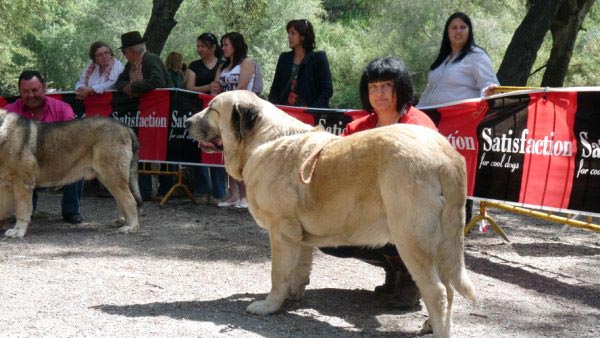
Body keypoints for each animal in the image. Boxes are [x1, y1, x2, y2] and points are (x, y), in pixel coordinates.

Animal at [0, 109, 143, 236]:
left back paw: (131, 227)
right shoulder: (4, 185)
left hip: (112, 176)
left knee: (130, 200)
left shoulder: (23, 184)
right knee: (121, 199)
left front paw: (18, 231)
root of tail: (126, 127)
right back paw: (122, 222)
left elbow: (22, 210)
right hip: (107, 178)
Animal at [185, 91, 476, 336]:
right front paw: (293, 296)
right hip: (440, 244)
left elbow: (277, 274)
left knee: (437, 292)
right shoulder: (298, 237)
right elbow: (298, 270)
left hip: (411, 239)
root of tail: (446, 155)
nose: (187, 122)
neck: (263, 140)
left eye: (212, 109)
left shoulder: (281, 232)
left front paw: (270, 305)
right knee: (449, 289)